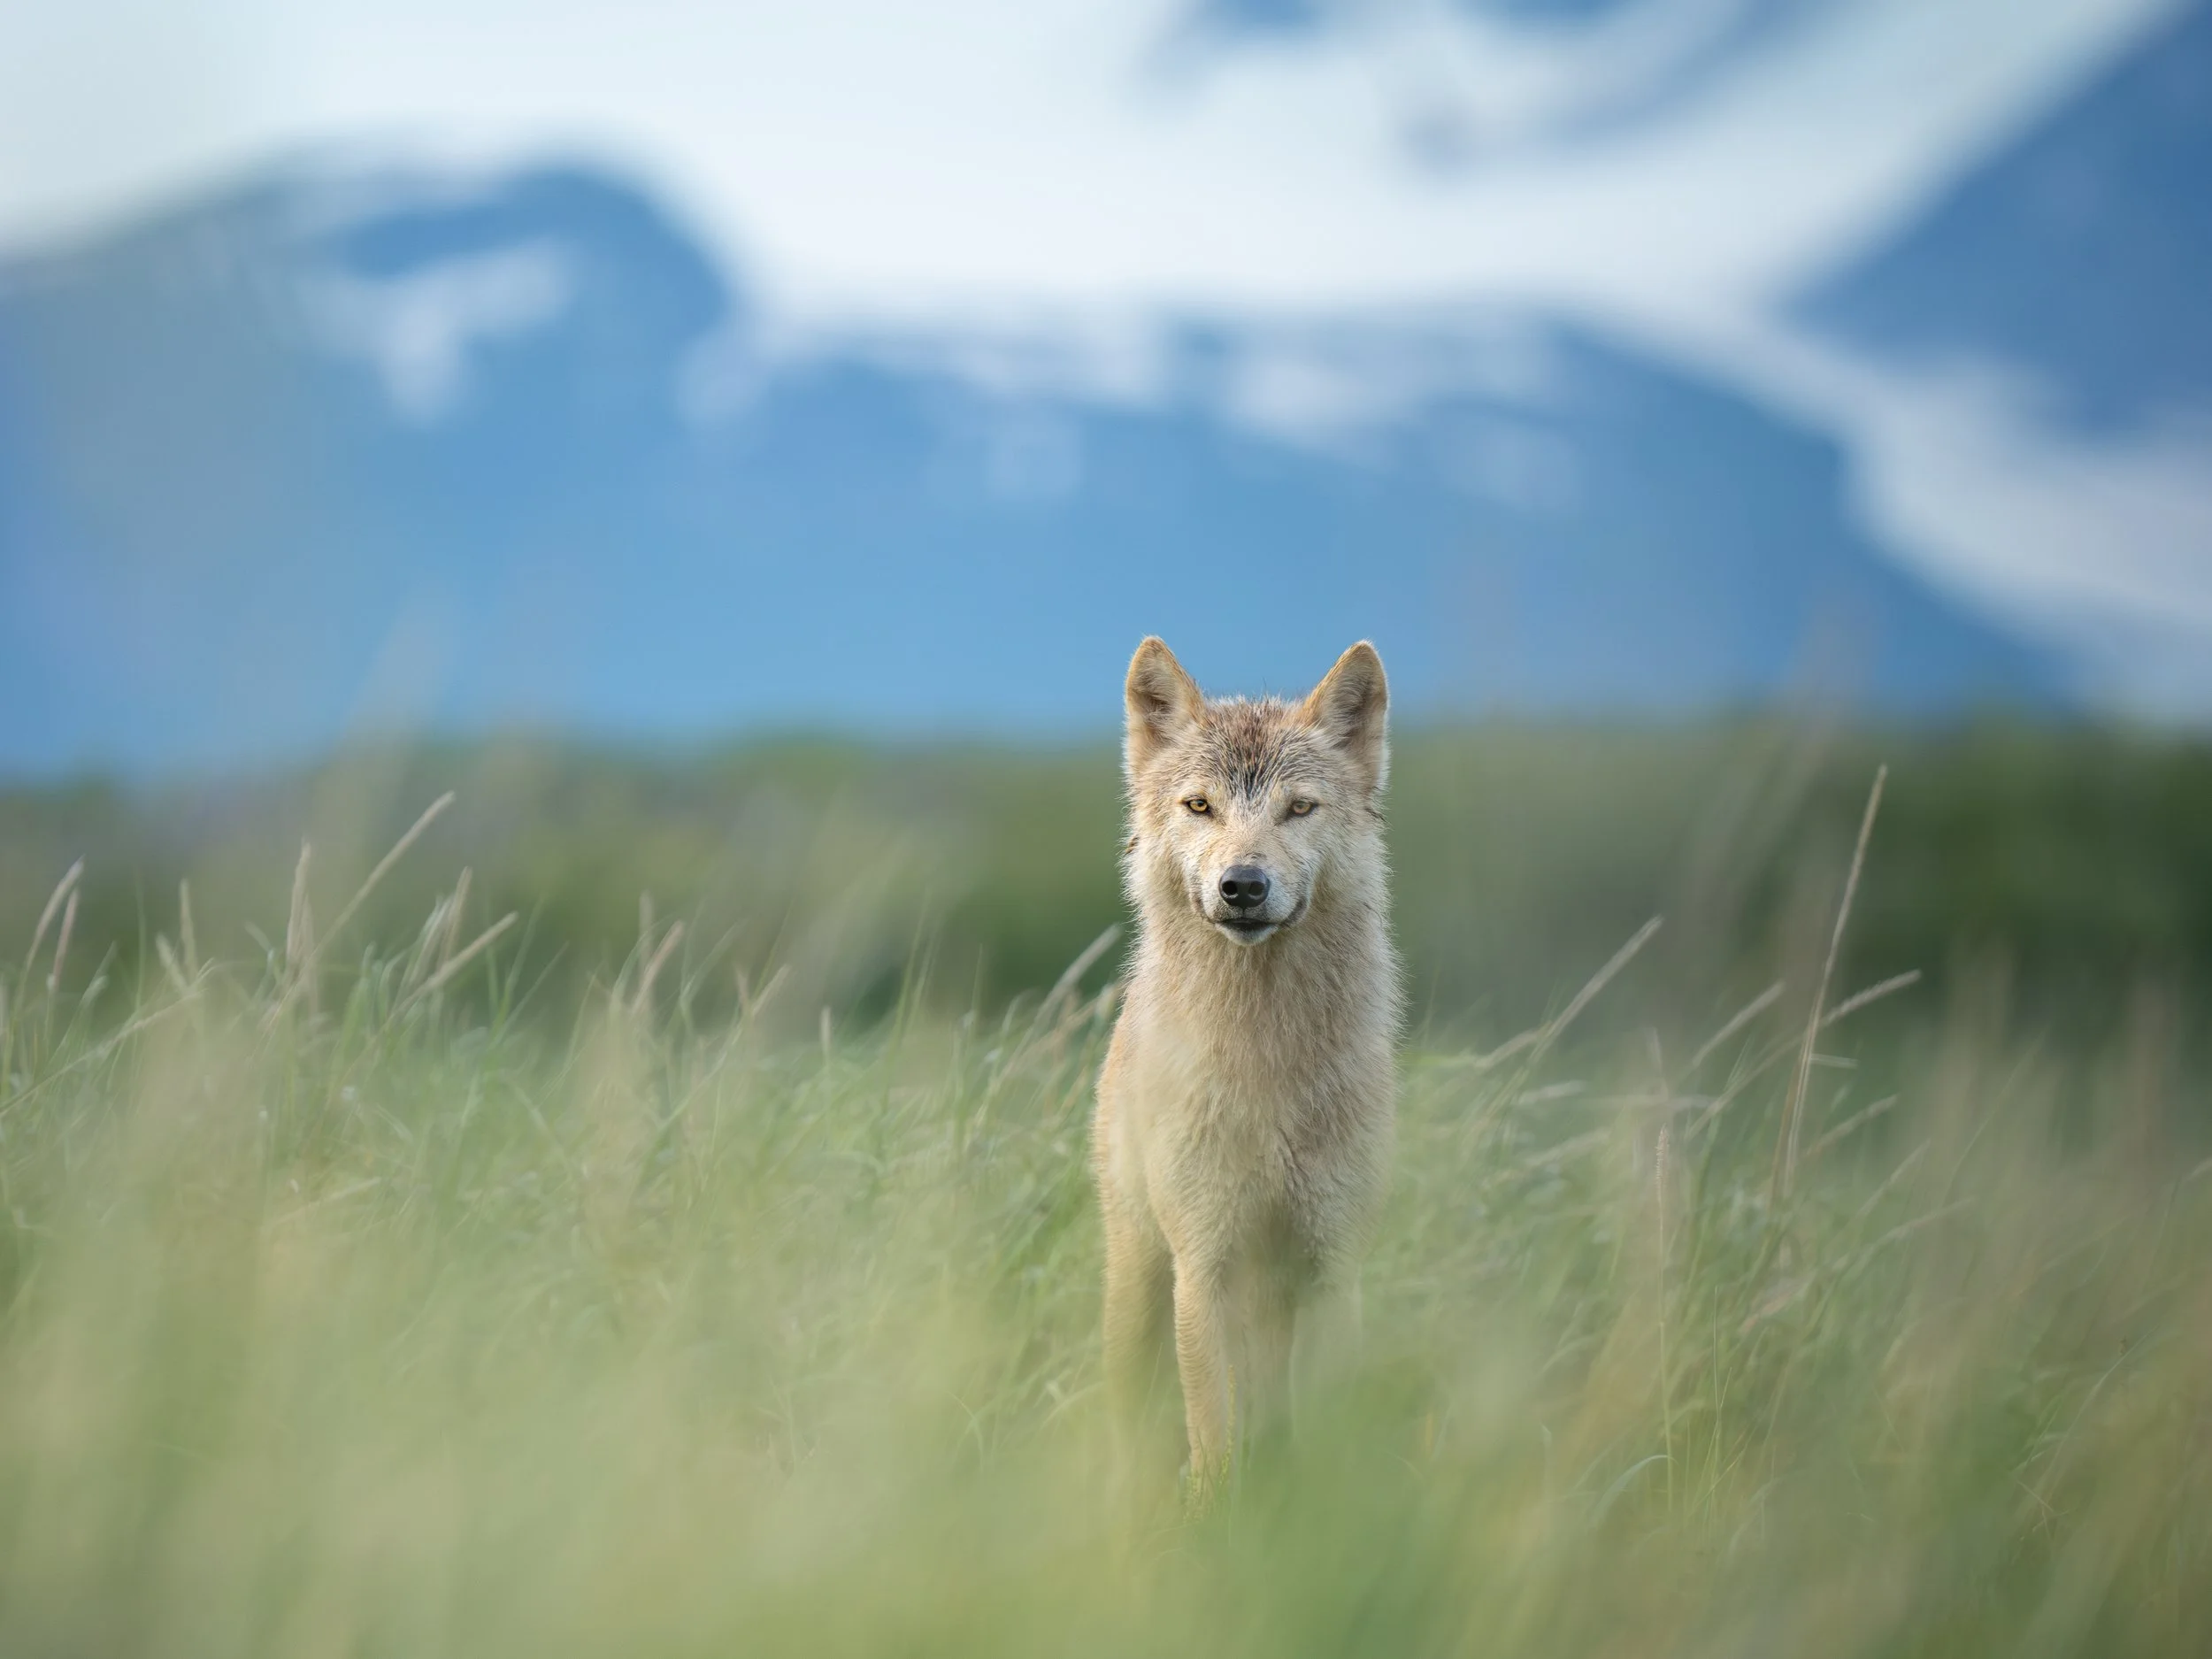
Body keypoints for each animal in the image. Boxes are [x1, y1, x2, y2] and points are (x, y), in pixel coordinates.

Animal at [1093, 637, 1401, 1499]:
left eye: (1298, 808)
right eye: (1201, 806)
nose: (1243, 885)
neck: (1265, 1063)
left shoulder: (1333, 1263)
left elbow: (1322, 1433)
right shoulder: (1203, 1263)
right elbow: (1213, 1437)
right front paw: (1215, 1514)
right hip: (1139, 1278)